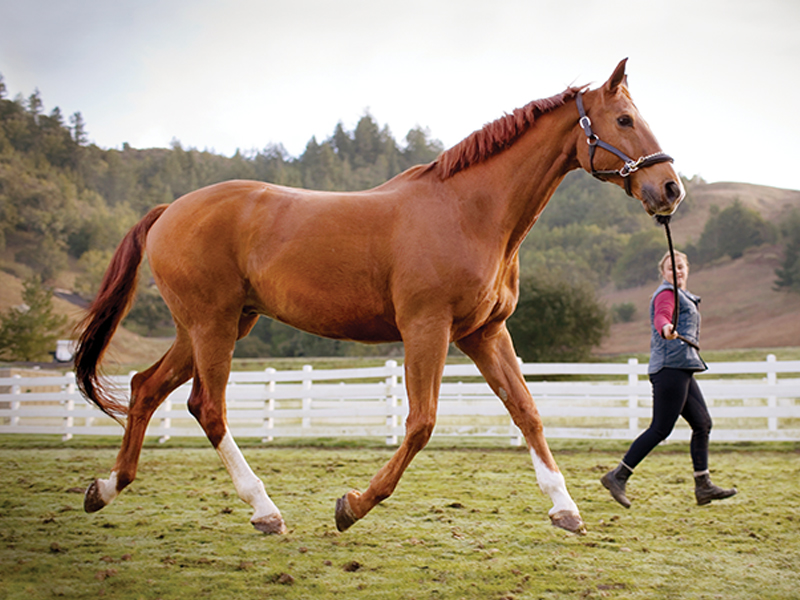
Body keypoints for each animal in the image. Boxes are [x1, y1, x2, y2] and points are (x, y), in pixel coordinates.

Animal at [74, 59, 684, 536]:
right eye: (624, 120)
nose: (670, 188)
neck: (470, 212)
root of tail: (168, 211)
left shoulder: (485, 334)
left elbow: (527, 412)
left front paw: (565, 508)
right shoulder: (426, 329)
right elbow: (421, 423)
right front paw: (353, 505)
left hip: (211, 327)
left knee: (145, 388)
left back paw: (106, 488)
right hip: (214, 326)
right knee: (207, 407)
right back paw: (265, 510)